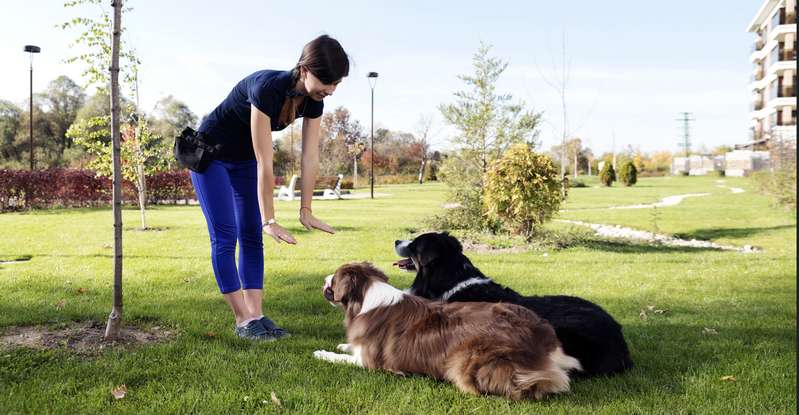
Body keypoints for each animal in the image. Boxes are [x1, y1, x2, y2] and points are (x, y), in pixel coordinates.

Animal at [312, 262, 580, 402]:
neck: (366, 296)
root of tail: (542, 336)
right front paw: (343, 344)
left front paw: (322, 353)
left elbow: (340, 358)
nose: (324, 278)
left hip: (468, 360)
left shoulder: (369, 362)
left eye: (334, 279)